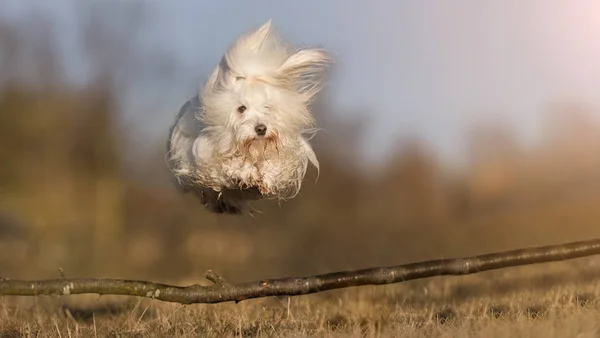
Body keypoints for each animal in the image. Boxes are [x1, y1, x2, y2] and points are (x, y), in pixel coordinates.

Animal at [166, 20, 330, 214]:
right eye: (241, 108)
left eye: (267, 107)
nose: (261, 128)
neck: (252, 150)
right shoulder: (207, 158)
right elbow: (229, 166)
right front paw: (245, 172)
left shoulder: (287, 156)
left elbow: (274, 166)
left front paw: (264, 177)